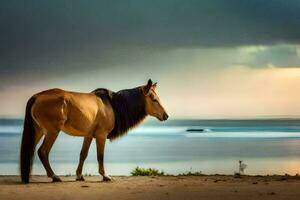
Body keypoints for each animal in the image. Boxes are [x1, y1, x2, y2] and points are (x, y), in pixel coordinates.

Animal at [19, 79, 168, 183]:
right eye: (154, 99)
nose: (166, 116)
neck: (112, 105)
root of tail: (37, 96)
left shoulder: (88, 136)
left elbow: (83, 155)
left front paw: (79, 175)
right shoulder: (101, 136)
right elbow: (100, 156)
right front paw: (105, 176)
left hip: (38, 131)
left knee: (32, 149)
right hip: (52, 132)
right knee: (43, 152)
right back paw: (54, 176)